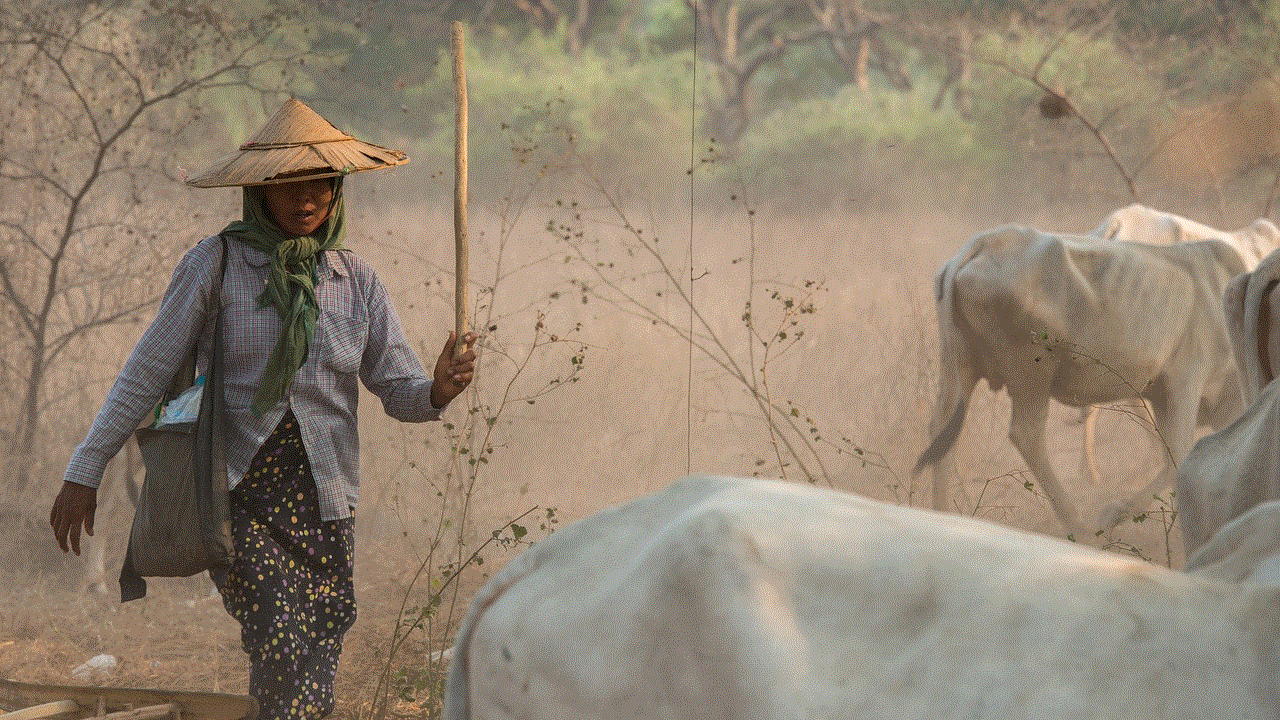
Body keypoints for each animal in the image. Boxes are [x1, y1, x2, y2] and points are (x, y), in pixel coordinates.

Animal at [916, 224, 1244, 532]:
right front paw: (1112, 514)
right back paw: (1081, 527)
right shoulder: (1185, 379)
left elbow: (1171, 457)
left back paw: (941, 514)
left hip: (959, 366)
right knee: (1027, 435)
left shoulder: (1163, 396)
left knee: (941, 431)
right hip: (1032, 370)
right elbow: (1180, 454)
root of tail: (987, 242)